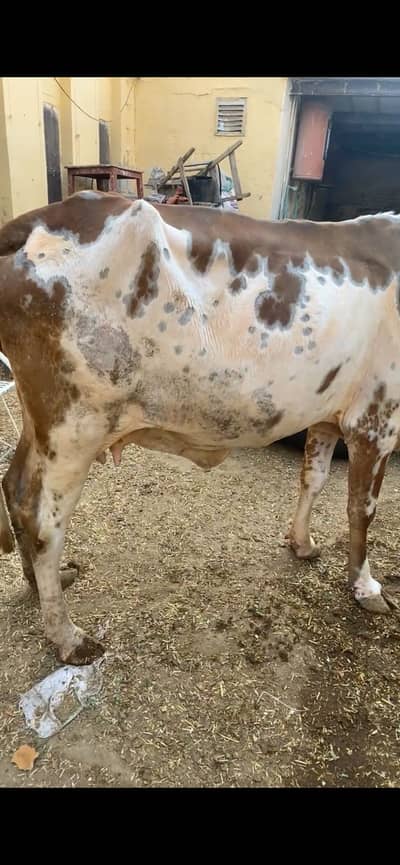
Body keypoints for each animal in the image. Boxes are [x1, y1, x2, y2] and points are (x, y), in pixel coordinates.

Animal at [0, 189, 399, 665]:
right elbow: (362, 508)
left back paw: (38, 584)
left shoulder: (326, 416)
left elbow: (313, 480)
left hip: (40, 420)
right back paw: (66, 635)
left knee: (14, 486)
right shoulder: (377, 418)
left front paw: (301, 543)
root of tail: (43, 217)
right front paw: (366, 586)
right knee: (44, 522)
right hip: (74, 426)